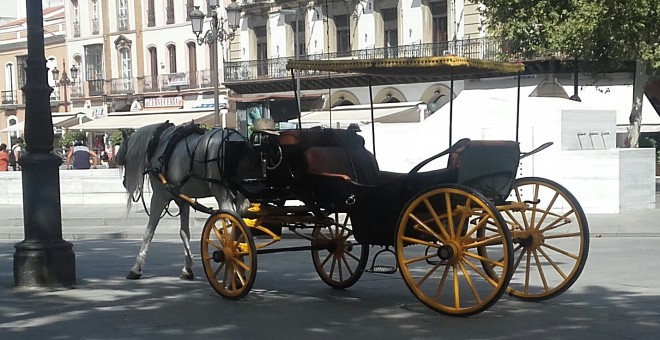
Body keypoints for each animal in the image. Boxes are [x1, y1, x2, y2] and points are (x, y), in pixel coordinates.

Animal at [113, 121, 260, 280]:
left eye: (124, 160)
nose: (124, 183)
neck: (158, 142)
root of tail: (239, 140)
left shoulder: (159, 197)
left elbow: (149, 232)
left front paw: (136, 267)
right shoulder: (182, 199)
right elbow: (184, 233)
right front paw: (187, 269)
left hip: (222, 194)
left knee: (231, 227)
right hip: (241, 196)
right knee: (240, 227)